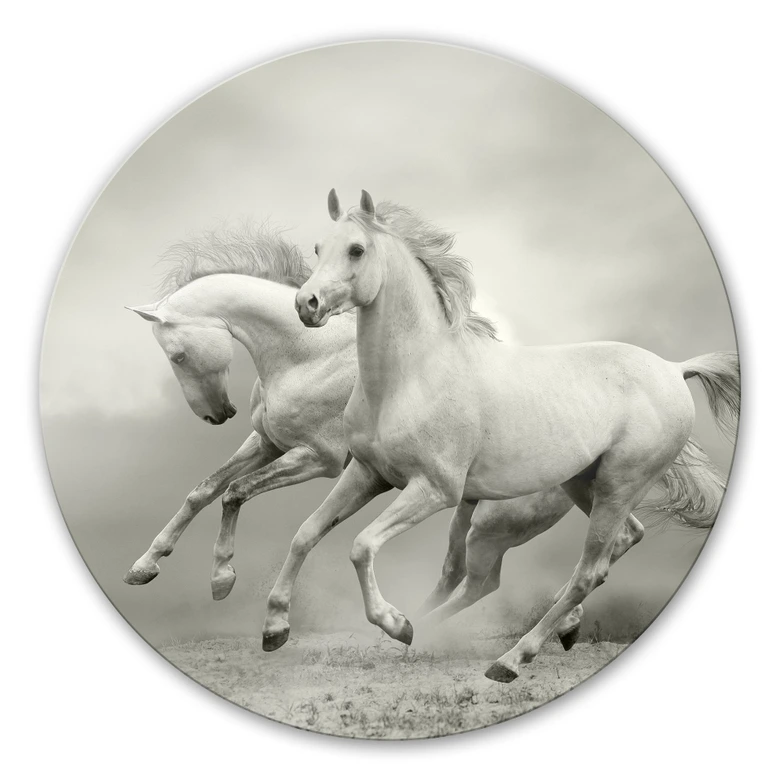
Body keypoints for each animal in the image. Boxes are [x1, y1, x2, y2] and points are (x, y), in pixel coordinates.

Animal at [122, 226, 585, 645]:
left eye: (177, 355)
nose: (217, 415)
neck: (307, 354)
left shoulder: (318, 459)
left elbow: (236, 492)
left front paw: (223, 579)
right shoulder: (268, 443)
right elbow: (204, 490)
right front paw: (145, 566)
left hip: (495, 516)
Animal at [263, 190, 738, 682]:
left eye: (357, 249)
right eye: (318, 248)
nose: (306, 304)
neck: (411, 377)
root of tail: (674, 369)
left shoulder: (435, 490)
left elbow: (361, 546)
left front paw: (395, 623)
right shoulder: (367, 474)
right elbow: (307, 533)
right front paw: (275, 629)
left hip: (617, 486)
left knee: (586, 572)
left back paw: (509, 659)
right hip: (585, 483)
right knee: (621, 542)